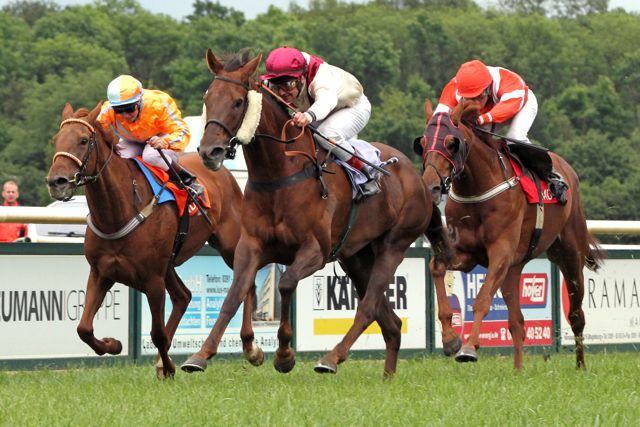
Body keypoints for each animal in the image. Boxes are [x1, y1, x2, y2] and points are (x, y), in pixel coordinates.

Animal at [46, 103, 248, 378]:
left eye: (83, 140)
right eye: (56, 139)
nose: (56, 182)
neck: (118, 212)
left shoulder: (153, 279)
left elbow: (157, 334)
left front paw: (169, 368)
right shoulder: (101, 272)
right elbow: (83, 328)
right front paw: (113, 344)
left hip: (228, 245)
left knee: (246, 284)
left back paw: (251, 349)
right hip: (169, 264)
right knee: (183, 296)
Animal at [180, 49, 451, 378]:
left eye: (238, 101)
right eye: (208, 99)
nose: (210, 152)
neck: (279, 175)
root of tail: (420, 179)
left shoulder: (315, 250)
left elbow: (285, 283)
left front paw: (284, 354)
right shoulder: (251, 245)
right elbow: (234, 294)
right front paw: (203, 354)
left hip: (394, 245)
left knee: (368, 307)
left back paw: (331, 358)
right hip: (357, 256)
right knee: (391, 322)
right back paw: (387, 376)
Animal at [413, 98, 605, 369]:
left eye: (451, 143)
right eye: (422, 144)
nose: (431, 186)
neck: (477, 190)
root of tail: (568, 170)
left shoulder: (500, 253)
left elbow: (482, 299)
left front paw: (469, 348)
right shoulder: (468, 253)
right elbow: (436, 267)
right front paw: (450, 340)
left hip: (570, 253)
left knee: (576, 314)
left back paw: (580, 367)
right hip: (515, 269)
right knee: (517, 322)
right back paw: (518, 370)